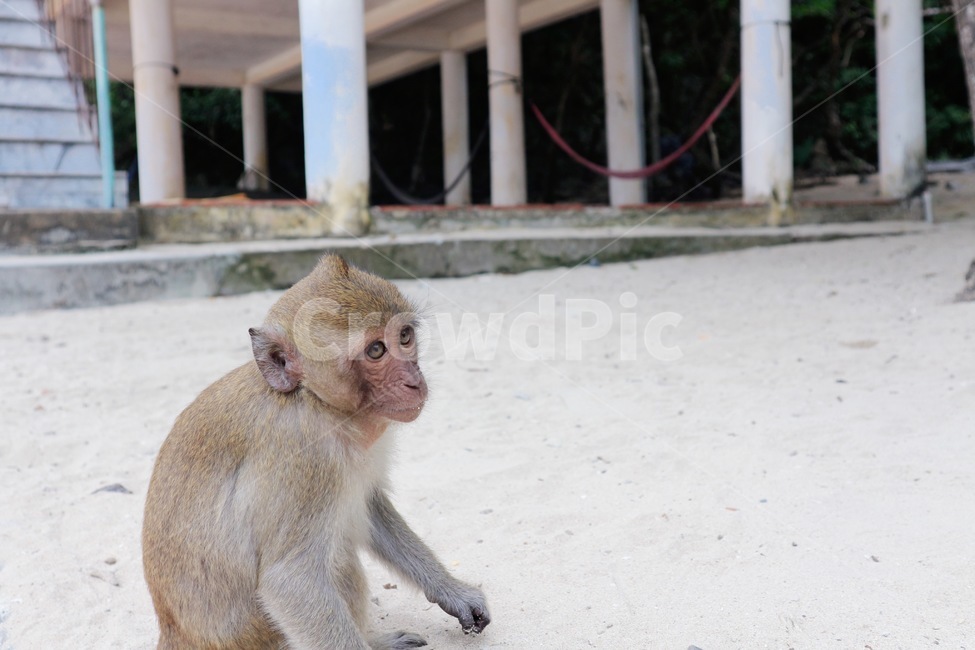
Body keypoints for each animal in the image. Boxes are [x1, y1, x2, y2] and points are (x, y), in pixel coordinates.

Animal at [142, 255, 490, 650]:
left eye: (404, 336)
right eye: (375, 350)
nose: (414, 381)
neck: (315, 401)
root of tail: (176, 633)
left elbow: (367, 508)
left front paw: (452, 591)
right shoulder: (303, 457)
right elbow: (290, 580)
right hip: (257, 633)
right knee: (339, 562)